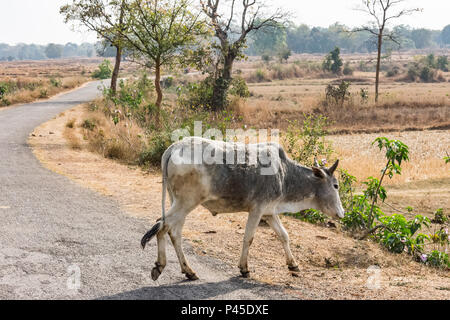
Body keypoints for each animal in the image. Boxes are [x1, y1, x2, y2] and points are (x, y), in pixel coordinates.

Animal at [142, 136, 344, 282]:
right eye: (335, 185)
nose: (341, 213)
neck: (285, 174)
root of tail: (174, 147)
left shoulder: (269, 213)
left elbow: (284, 236)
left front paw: (293, 264)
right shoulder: (257, 209)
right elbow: (249, 238)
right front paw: (244, 269)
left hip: (177, 202)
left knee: (172, 232)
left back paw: (188, 271)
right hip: (186, 203)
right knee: (162, 226)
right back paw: (161, 266)